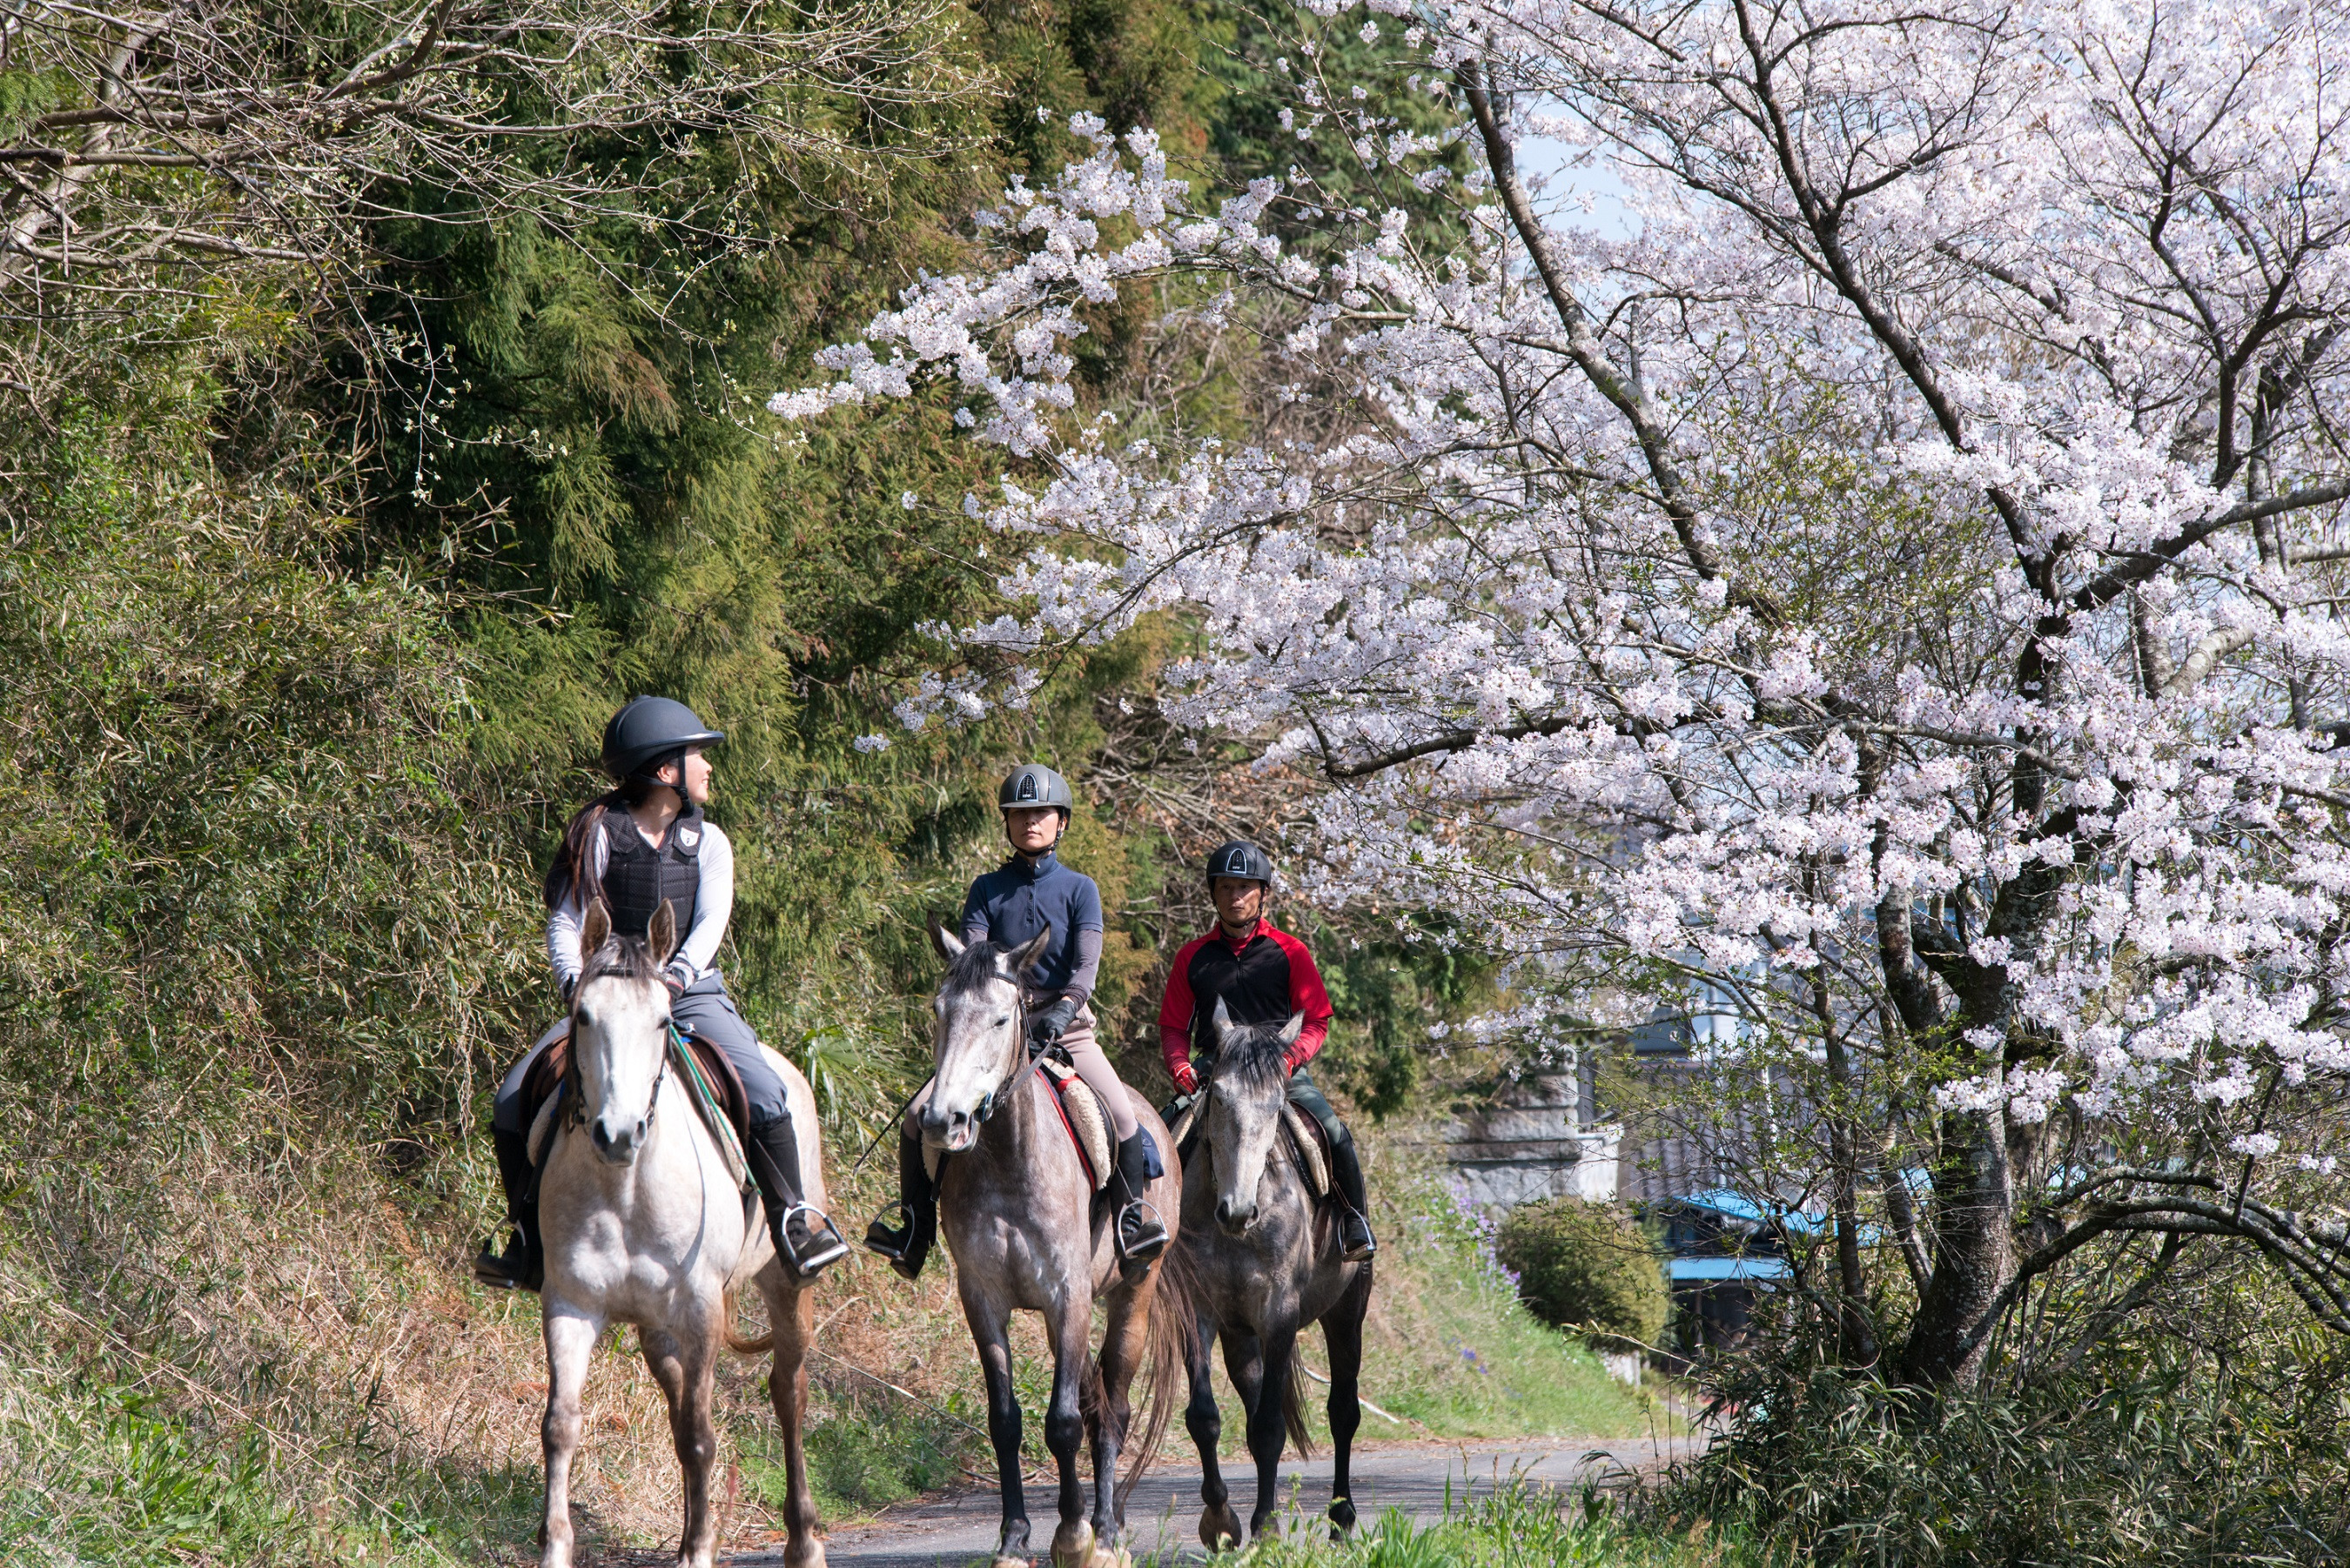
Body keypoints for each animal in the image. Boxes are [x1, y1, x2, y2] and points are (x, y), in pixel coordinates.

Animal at [538, 893, 831, 1568]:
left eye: (661, 1020)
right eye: (583, 1015)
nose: (618, 1134)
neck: (624, 1187)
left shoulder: (701, 1310)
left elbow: (700, 1436)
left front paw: (699, 1551)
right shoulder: (570, 1303)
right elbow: (561, 1424)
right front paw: (555, 1547)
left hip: (785, 1285)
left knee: (788, 1391)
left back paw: (803, 1540)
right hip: (655, 1327)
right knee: (677, 1403)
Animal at [921, 926, 1193, 1568]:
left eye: (1001, 1020)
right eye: (940, 1012)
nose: (944, 1122)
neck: (1008, 1157)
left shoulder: (1067, 1298)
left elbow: (1065, 1421)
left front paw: (1073, 1537)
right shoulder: (984, 1301)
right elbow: (1006, 1420)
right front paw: (1014, 1539)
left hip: (1132, 1294)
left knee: (1112, 1408)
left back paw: (1108, 1531)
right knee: (1095, 1404)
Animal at [1175, 1001, 1372, 1551]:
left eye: (1276, 1103)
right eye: (1218, 1096)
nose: (1237, 1210)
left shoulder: (1279, 1315)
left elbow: (1268, 1428)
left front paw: (1265, 1527)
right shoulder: (1198, 1312)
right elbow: (1205, 1418)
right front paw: (1221, 1522)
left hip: (1346, 1316)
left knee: (1343, 1412)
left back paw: (1341, 1518)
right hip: (1240, 1336)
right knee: (1255, 1396)